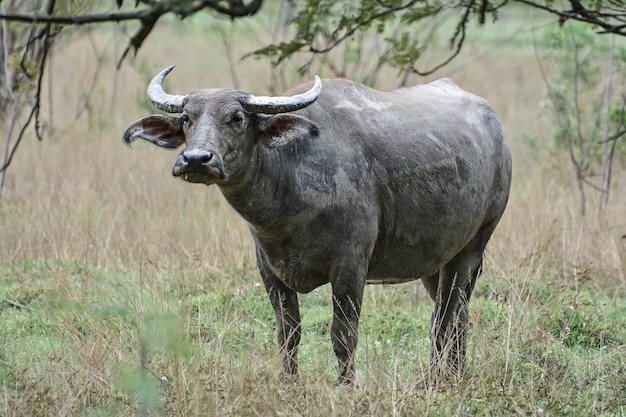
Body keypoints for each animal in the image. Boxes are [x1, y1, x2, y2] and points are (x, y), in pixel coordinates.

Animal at [124, 67, 510, 384]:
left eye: (236, 117)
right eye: (187, 118)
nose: (196, 159)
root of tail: (497, 133)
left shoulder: (350, 266)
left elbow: (343, 334)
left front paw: (346, 385)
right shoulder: (270, 271)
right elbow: (288, 333)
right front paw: (288, 382)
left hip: (474, 247)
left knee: (446, 317)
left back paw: (435, 379)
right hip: (436, 260)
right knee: (457, 315)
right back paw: (455, 374)